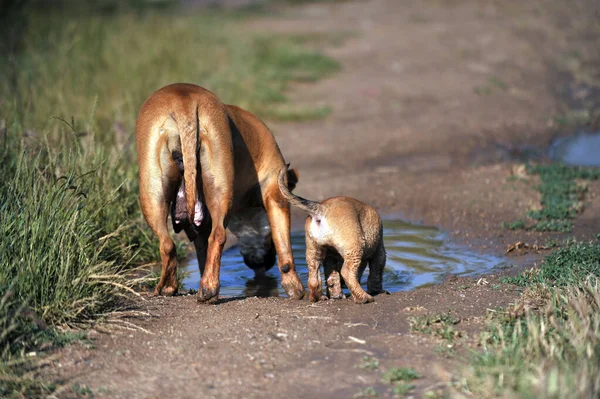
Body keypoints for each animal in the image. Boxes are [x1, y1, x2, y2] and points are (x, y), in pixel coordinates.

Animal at [278, 166, 386, 304]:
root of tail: (322, 208)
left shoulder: (330, 257)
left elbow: (332, 277)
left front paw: (336, 295)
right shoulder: (379, 252)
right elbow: (376, 272)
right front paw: (377, 290)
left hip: (314, 248)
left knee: (313, 276)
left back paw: (318, 297)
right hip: (354, 246)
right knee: (346, 272)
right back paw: (364, 298)